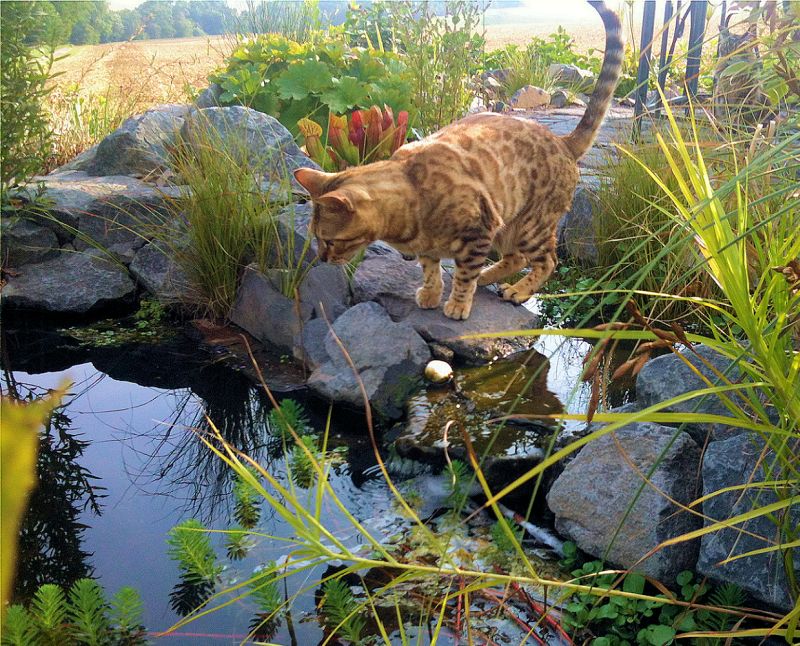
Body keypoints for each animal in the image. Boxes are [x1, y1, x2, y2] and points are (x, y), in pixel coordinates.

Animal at [294, 0, 624, 322]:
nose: (322, 258)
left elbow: (465, 274)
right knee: (515, 257)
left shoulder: (479, 231)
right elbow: (430, 269)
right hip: (508, 223)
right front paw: (431, 294)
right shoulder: (439, 244)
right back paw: (490, 276)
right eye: (316, 238)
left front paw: (457, 304)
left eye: (329, 240)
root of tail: (562, 141)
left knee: (547, 261)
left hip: (532, 225)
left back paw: (517, 290)